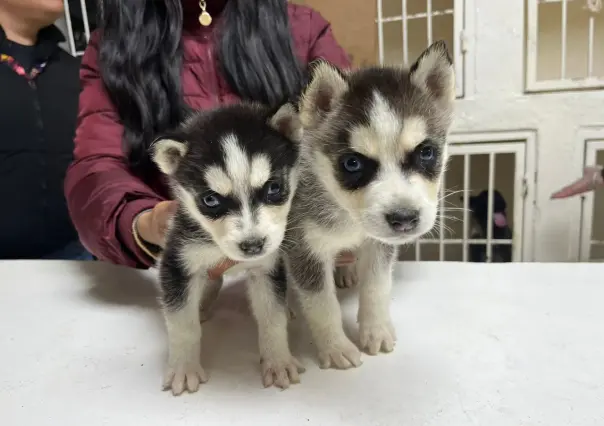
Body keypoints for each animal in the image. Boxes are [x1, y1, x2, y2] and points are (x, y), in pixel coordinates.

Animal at [151, 101, 302, 394]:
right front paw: (184, 368)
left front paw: (278, 361)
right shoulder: (177, 262)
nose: (253, 245)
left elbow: (273, 317)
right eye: (210, 200)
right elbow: (183, 324)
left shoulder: (267, 267)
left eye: (274, 187)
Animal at [286, 41, 456, 372]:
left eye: (426, 152)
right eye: (352, 163)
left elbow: (377, 285)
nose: (404, 218)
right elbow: (321, 304)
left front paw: (375, 330)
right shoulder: (304, 248)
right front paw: (335, 346)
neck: (348, 215)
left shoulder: (380, 244)